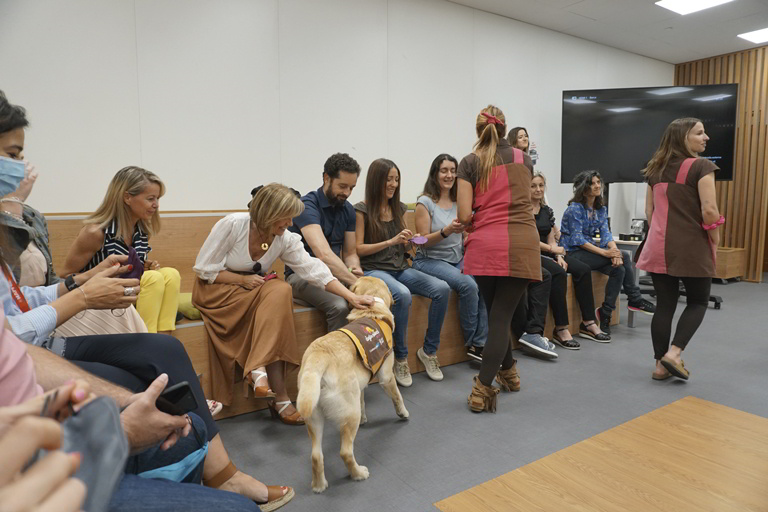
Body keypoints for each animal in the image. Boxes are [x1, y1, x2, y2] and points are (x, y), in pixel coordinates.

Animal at [296, 276, 409, 493]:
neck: (371, 309)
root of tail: (319, 354)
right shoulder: (386, 376)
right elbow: (397, 396)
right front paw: (403, 413)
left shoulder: (361, 385)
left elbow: (364, 401)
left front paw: (367, 417)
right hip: (349, 414)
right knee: (345, 452)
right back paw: (358, 473)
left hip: (313, 416)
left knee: (316, 455)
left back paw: (319, 486)